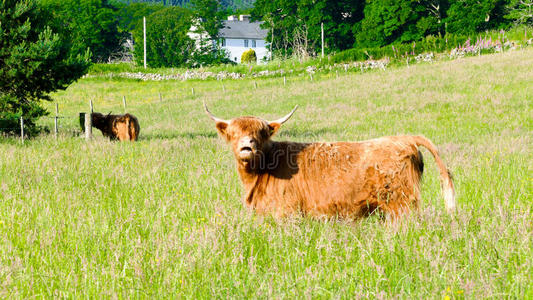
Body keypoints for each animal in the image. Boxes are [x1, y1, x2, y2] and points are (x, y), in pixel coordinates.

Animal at [206, 103, 456, 220]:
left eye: (260, 133)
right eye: (234, 133)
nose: (247, 144)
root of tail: (405, 139)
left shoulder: (286, 212)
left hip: (400, 202)